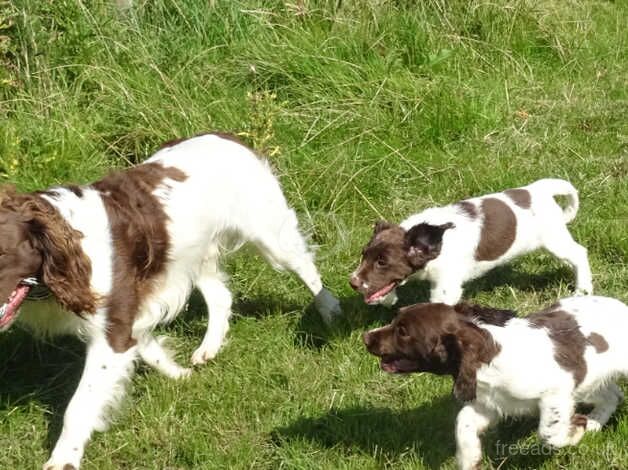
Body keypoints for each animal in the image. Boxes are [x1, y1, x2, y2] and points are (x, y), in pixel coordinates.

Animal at [0, 133, 344, 470]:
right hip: (194, 255)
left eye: (4, 253)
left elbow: (79, 405)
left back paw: (329, 311)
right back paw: (208, 349)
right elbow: (147, 346)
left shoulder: (112, 330)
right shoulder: (130, 317)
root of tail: (231, 137)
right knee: (221, 296)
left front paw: (63, 459)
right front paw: (180, 374)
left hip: (270, 235)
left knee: (307, 268)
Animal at [350, 178, 592, 306]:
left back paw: (583, 290)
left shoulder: (446, 286)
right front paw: (387, 299)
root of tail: (539, 188)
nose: (352, 282)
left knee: (579, 253)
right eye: (364, 255)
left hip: (553, 238)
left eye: (383, 262)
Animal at [364, 298, 628, 470]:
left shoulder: (557, 391)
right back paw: (595, 422)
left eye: (403, 331)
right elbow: (463, 422)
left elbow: (548, 433)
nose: (366, 338)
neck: (488, 359)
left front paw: (575, 430)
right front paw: (470, 459)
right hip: (590, 382)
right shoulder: (490, 403)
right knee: (612, 394)